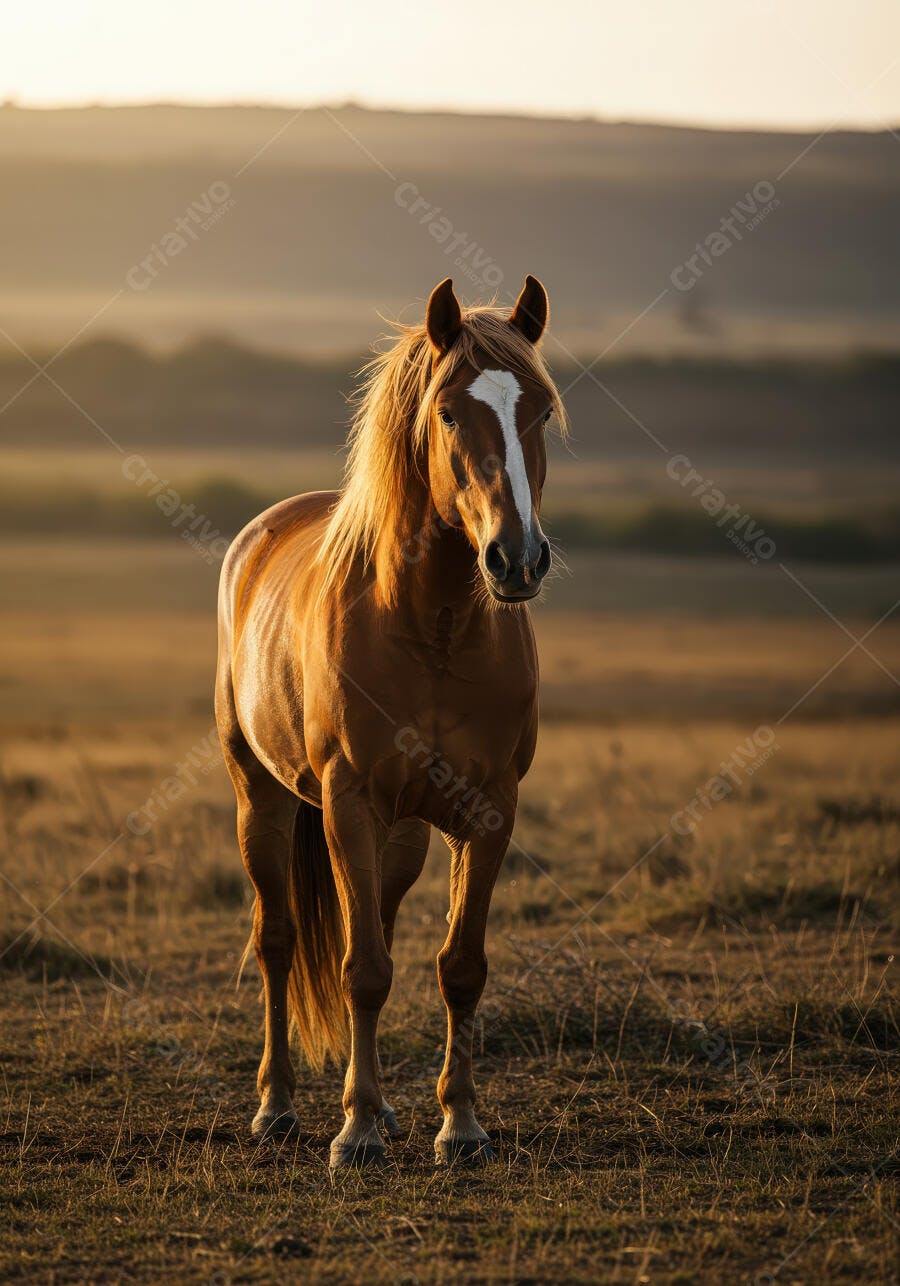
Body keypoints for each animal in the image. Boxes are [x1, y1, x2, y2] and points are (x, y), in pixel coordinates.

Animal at [215, 275, 567, 1167]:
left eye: (542, 409)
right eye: (447, 413)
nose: (518, 559)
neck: (432, 626)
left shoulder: (490, 809)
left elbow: (458, 965)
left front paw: (460, 1125)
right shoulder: (349, 804)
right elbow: (361, 969)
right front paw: (358, 1130)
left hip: (403, 834)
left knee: (377, 922)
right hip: (263, 800)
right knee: (279, 939)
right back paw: (279, 1107)